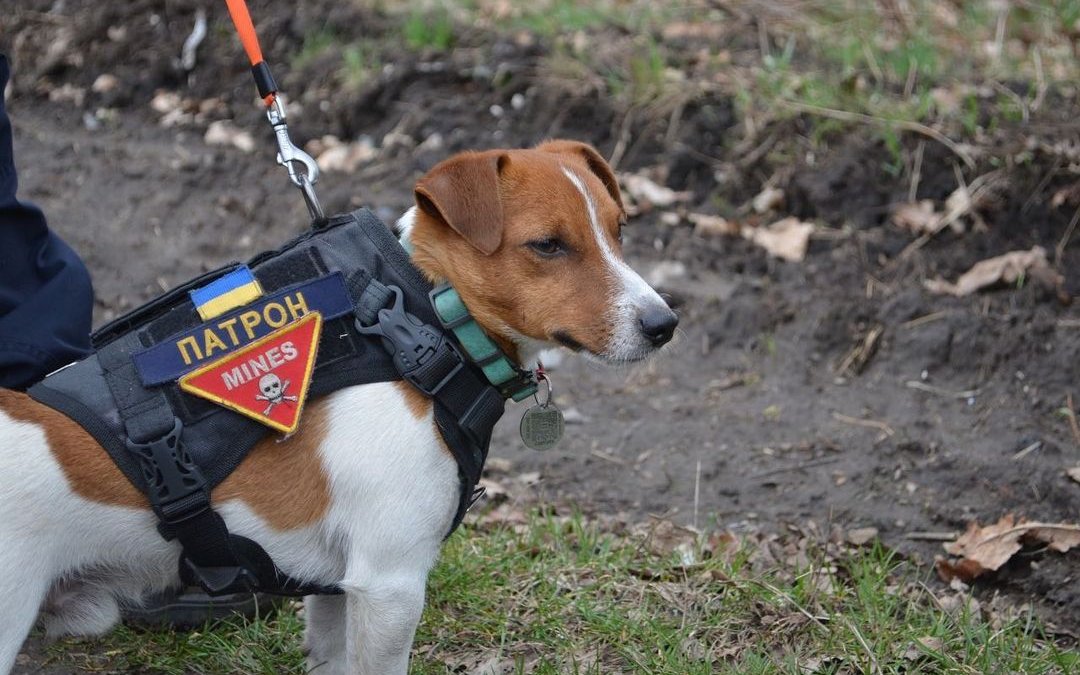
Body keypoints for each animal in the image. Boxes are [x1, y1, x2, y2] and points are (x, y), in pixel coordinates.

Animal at [0, 139, 673, 669]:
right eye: (548, 245)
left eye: (618, 231)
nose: (664, 324)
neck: (427, 318)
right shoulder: (389, 587)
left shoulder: (333, 588)